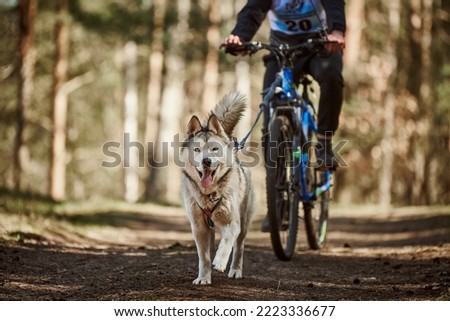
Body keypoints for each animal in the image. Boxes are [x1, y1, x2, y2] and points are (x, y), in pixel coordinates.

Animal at [181, 91, 255, 284]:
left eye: (214, 149)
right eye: (197, 150)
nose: (206, 161)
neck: (209, 195)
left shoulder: (233, 223)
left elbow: (227, 242)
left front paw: (220, 262)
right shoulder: (199, 227)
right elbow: (204, 257)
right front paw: (203, 277)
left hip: (244, 223)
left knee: (239, 248)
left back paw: (235, 270)